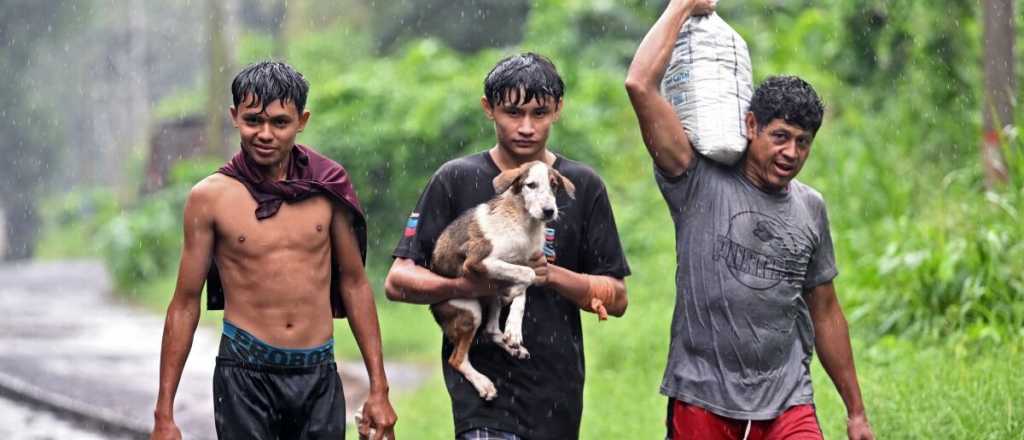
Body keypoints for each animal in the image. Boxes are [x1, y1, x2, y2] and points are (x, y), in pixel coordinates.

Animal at [428, 159, 577, 401]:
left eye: (554, 185)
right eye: (530, 185)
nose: (549, 211)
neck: (524, 225)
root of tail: (432, 307)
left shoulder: (526, 262)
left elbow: (523, 290)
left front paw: (514, 328)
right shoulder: (479, 261)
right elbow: (527, 276)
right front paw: (513, 312)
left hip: (489, 298)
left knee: (490, 329)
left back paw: (512, 345)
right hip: (470, 310)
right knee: (457, 359)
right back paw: (483, 383)